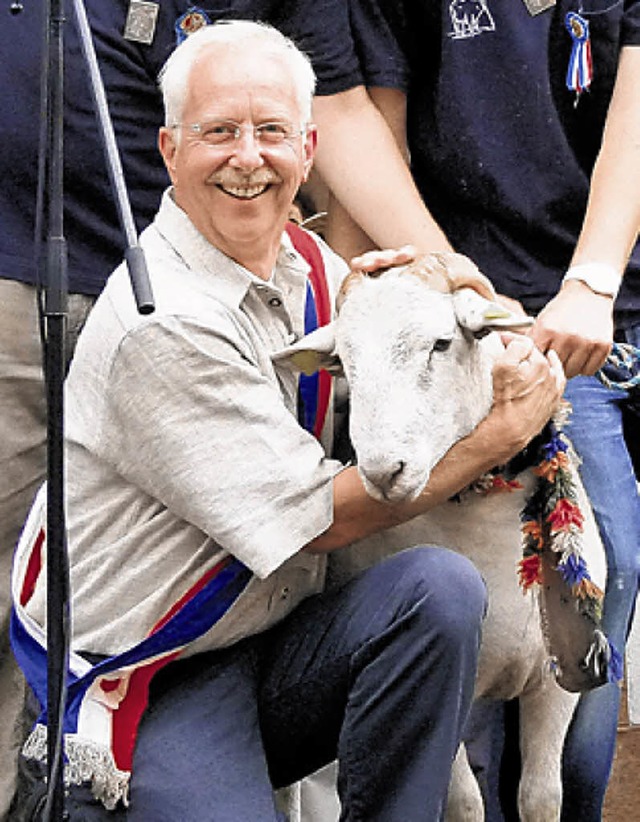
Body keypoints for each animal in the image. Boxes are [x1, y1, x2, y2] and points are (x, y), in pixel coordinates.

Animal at [274, 258, 604, 822]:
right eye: (344, 364)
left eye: (442, 343)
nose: (384, 472)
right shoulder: (454, 690)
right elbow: (466, 804)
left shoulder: (557, 680)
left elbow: (541, 797)